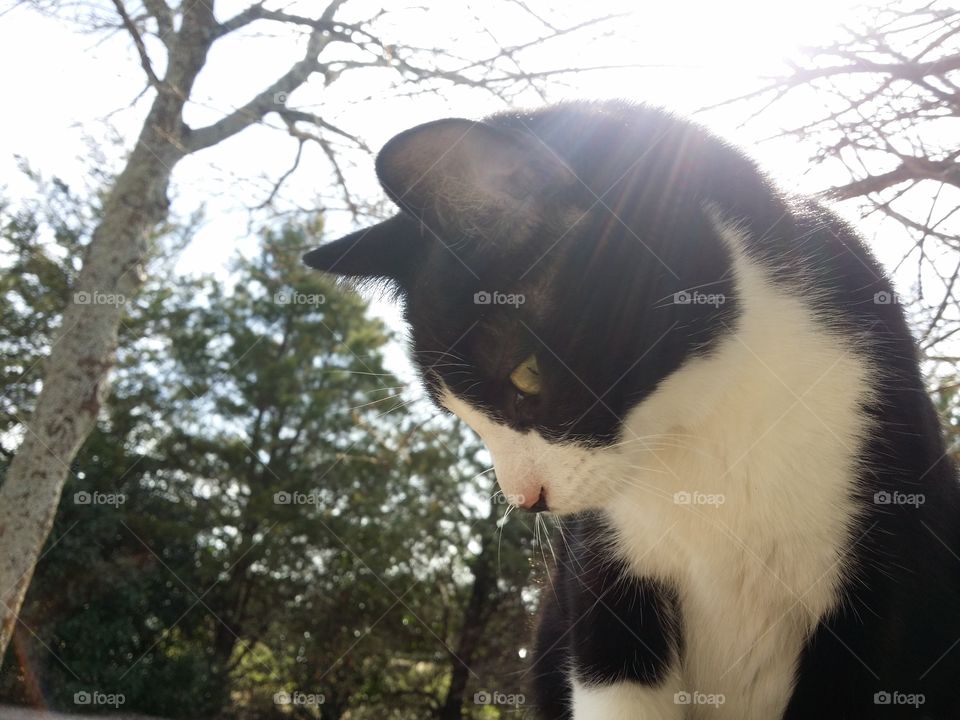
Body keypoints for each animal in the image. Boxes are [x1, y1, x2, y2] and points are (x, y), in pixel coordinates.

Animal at [302, 102, 960, 720]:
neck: (708, 428)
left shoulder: (883, 597)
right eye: (458, 412)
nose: (526, 498)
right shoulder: (606, 590)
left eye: (526, 375)